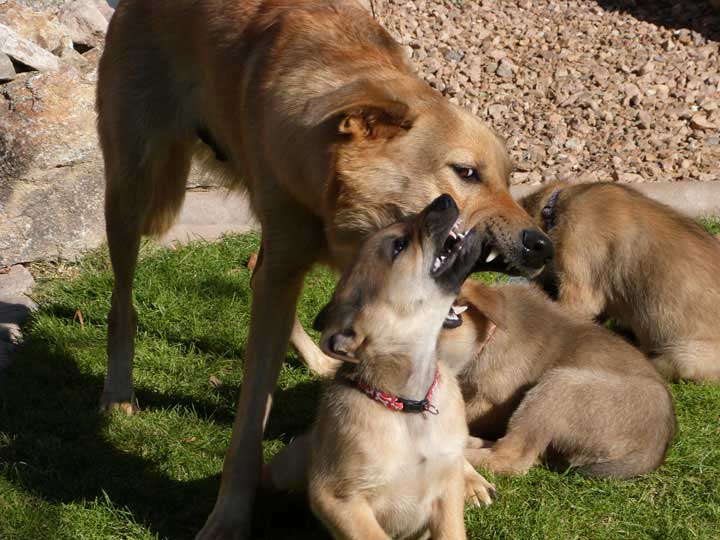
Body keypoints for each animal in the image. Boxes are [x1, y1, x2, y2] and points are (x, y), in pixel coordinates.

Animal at [264, 195, 496, 540]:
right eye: (399, 245)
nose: (444, 198)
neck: (409, 403)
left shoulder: (446, 492)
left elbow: (451, 530)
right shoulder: (339, 499)